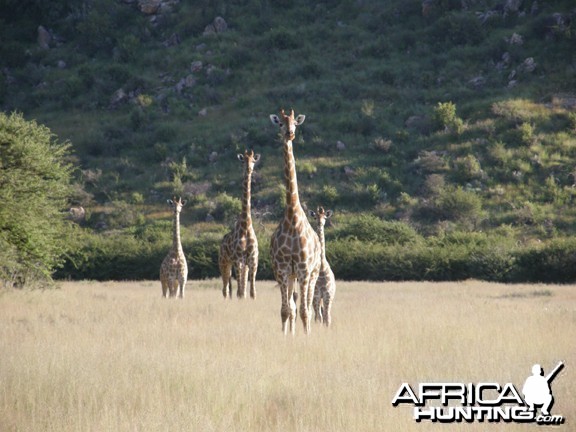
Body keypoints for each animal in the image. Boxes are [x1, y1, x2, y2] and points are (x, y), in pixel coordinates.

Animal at [218, 150, 260, 298]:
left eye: (253, 160)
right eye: (243, 161)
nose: (249, 169)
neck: (246, 226)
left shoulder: (252, 260)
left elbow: (252, 292)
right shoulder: (238, 259)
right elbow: (240, 291)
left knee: (234, 288)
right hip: (224, 262)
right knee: (225, 289)